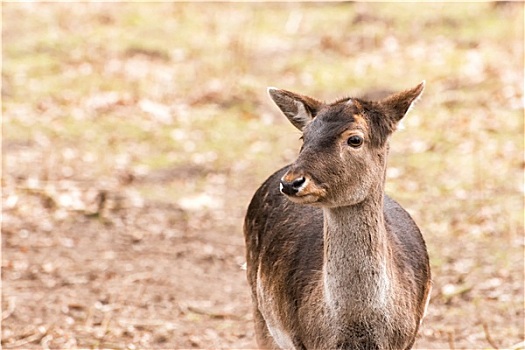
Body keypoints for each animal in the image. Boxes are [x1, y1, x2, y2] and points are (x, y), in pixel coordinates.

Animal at [242, 80, 430, 348]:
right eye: (304, 136)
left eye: (355, 139)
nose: (291, 182)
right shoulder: (302, 341)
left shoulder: (408, 338)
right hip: (258, 307)